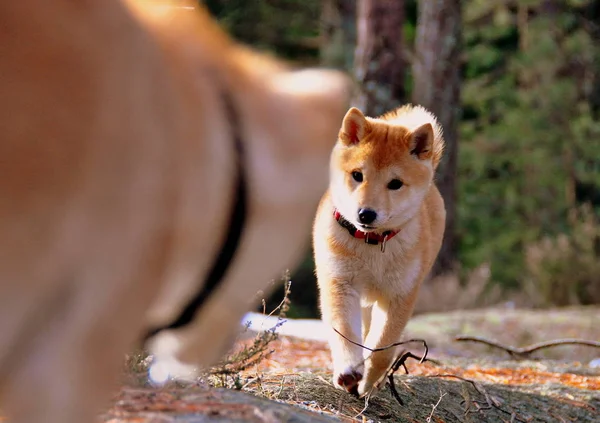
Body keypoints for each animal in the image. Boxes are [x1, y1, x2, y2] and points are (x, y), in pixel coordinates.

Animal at [314, 105, 446, 398]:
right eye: (357, 175)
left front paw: (368, 383)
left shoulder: (399, 296)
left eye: (395, 183)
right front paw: (349, 371)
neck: (372, 244)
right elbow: (345, 332)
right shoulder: (340, 283)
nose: (366, 213)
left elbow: (382, 350)